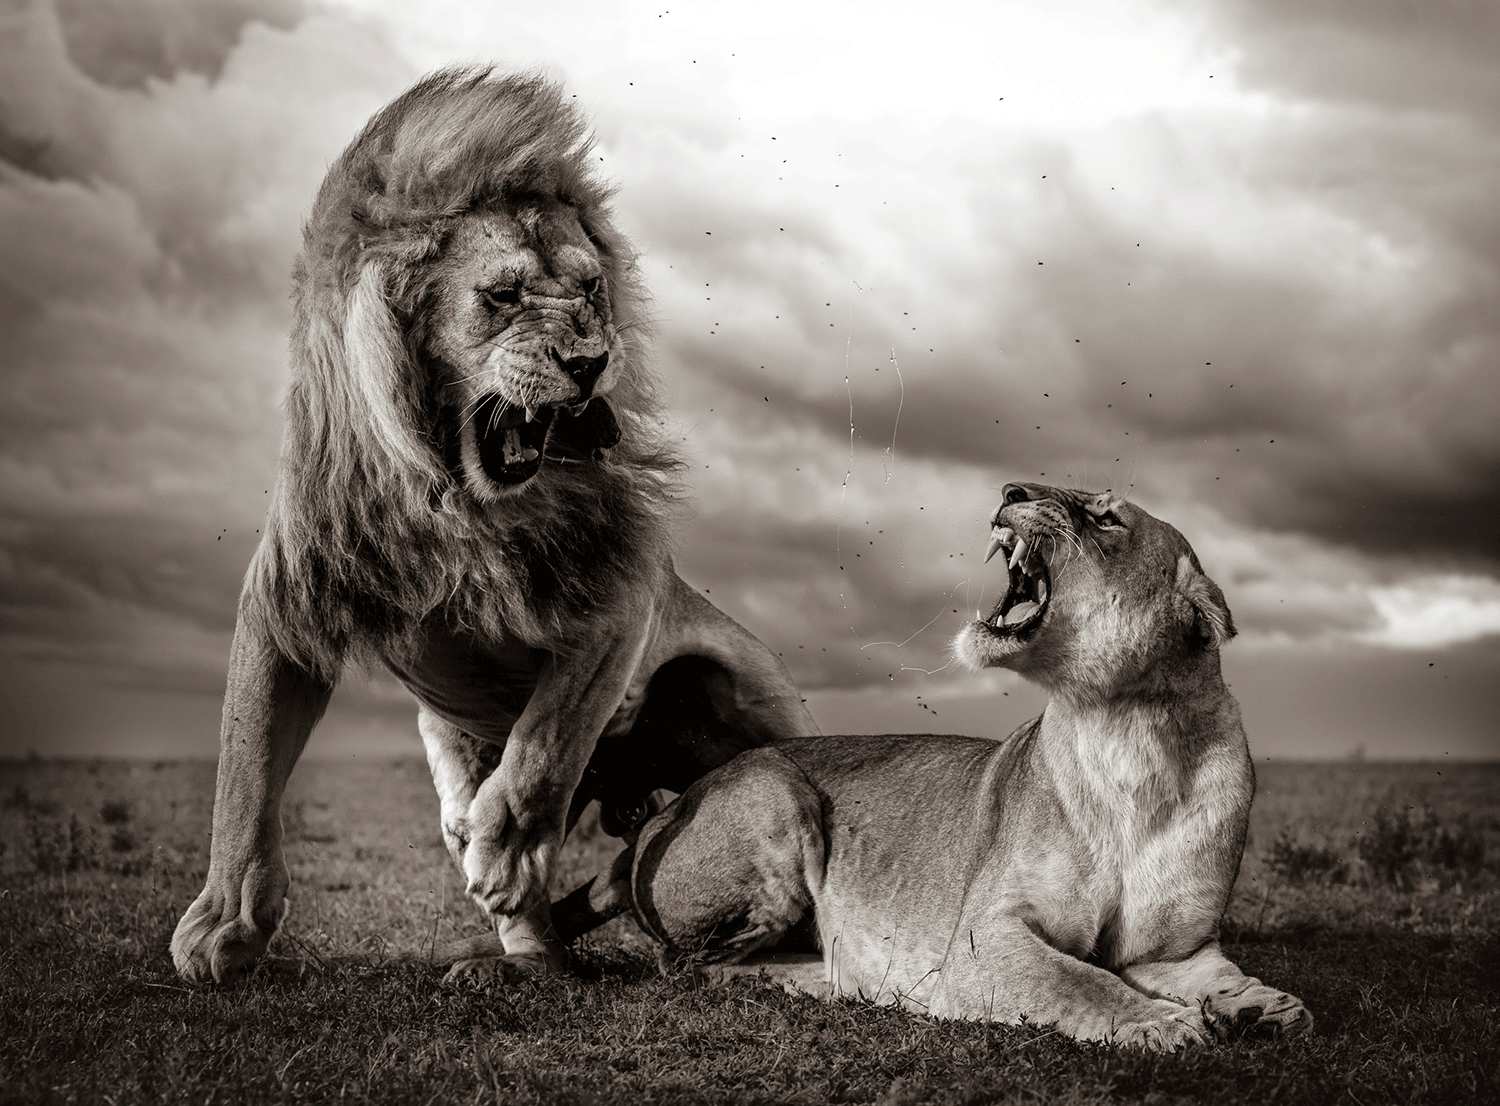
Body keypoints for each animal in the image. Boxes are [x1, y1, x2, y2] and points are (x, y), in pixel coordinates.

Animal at [175, 66, 822, 984]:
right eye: (504, 295)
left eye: (591, 289)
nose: (591, 362)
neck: (456, 497)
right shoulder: (286, 600)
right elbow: (244, 767)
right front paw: (223, 924)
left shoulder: (618, 596)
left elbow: (543, 751)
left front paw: (508, 853)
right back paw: (513, 962)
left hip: (746, 699)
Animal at [609, 480, 1314, 1044]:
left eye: (1107, 518)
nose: (1010, 490)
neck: (1127, 732)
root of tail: (662, 813)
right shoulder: (984, 939)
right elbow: (1081, 980)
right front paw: (1160, 1022)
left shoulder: (1176, 950)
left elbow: (1221, 974)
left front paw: (1267, 1006)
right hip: (775, 790)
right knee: (694, 965)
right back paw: (845, 977)